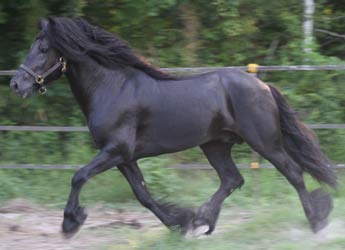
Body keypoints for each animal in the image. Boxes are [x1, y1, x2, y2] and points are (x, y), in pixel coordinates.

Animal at [9, 17, 334, 236]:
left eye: (43, 48)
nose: (15, 84)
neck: (112, 87)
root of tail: (263, 85)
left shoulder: (115, 151)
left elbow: (78, 176)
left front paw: (70, 222)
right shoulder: (124, 157)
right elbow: (143, 195)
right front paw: (180, 224)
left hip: (264, 142)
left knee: (293, 173)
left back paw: (316, 221)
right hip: (215, 145)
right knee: (232, 179)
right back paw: (203, 221)